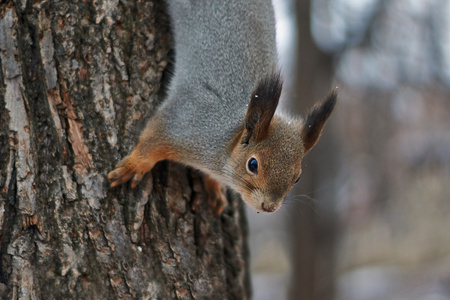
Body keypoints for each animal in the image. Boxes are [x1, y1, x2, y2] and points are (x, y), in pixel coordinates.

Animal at [107, 0, 336, 213]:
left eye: (297, 178)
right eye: (253, 164)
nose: (269, 207)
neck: (226, 141)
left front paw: (215, 188)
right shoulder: (184, 124)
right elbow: (151, 140)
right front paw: (133, 166)